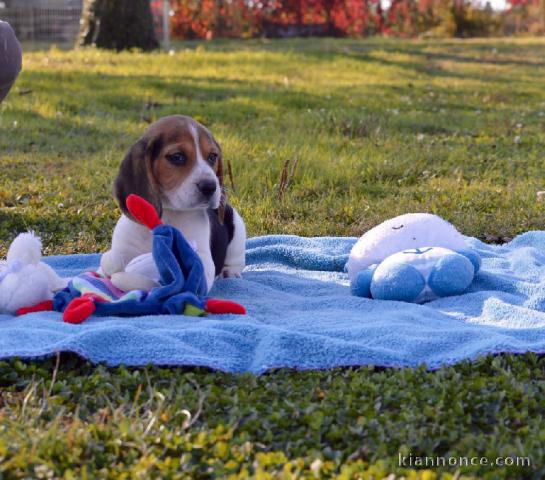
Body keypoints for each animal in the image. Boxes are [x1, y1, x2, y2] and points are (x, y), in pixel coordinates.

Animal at [100, 115, 246, 292]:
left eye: (212, 156)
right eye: (177, 157)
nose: (211, 187)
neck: (168, 215)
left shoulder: (201, 266)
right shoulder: (123, 249)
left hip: (237, 227)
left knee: (236, 259)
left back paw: (230, 273)